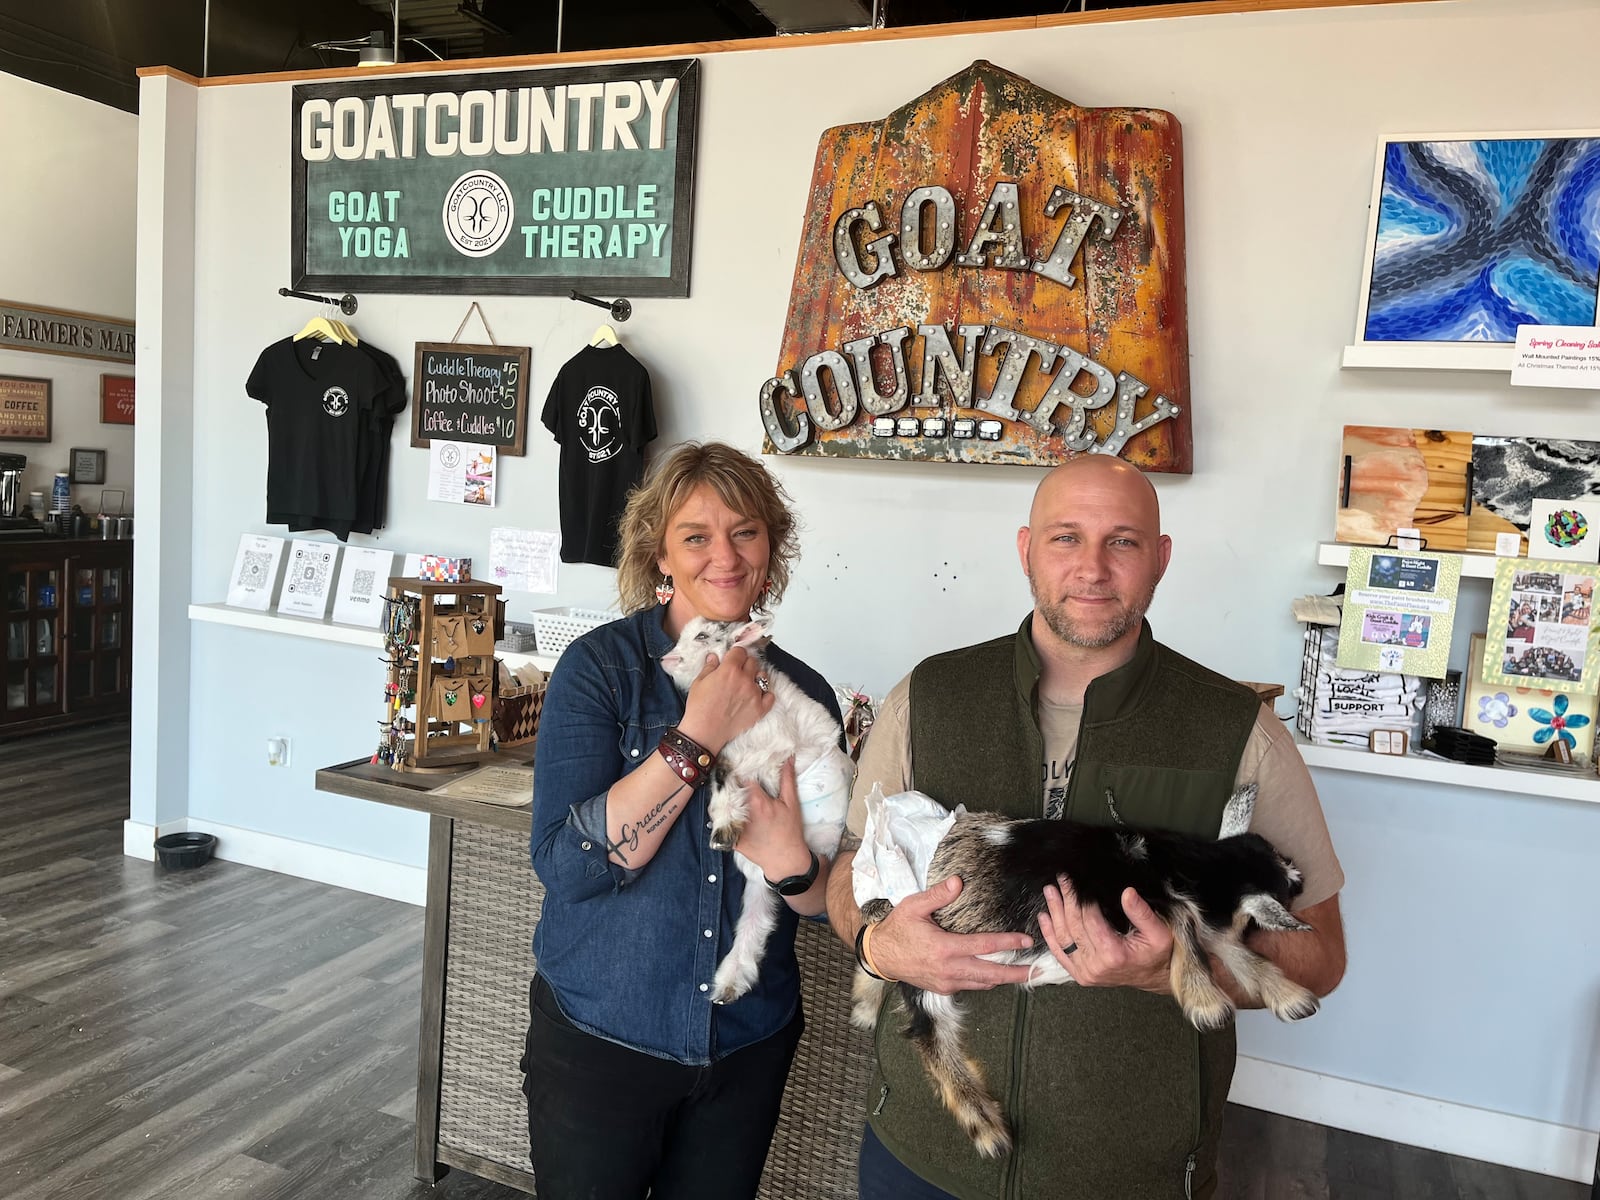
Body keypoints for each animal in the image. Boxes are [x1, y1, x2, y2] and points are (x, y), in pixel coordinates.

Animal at [659, 620, 851, 1004]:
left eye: (702, 636)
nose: (665, 659)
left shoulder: (762, 754)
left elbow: (724, 778)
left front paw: (723, 832)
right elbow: (721, 776)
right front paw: (725, 830)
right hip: (760, 887)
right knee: (756, 922)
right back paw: (727, 987)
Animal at [857, 784, 1318, 1158]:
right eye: (1291, 885)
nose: (1304, 876)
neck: (1190, 868)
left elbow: (1234, 949)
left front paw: (1292, 998)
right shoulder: (1130, 898)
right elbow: (1184, 916)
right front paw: (1208, 1005)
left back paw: (865, 1008)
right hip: (931, 965)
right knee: (929, 1033)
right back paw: (989, 1131)